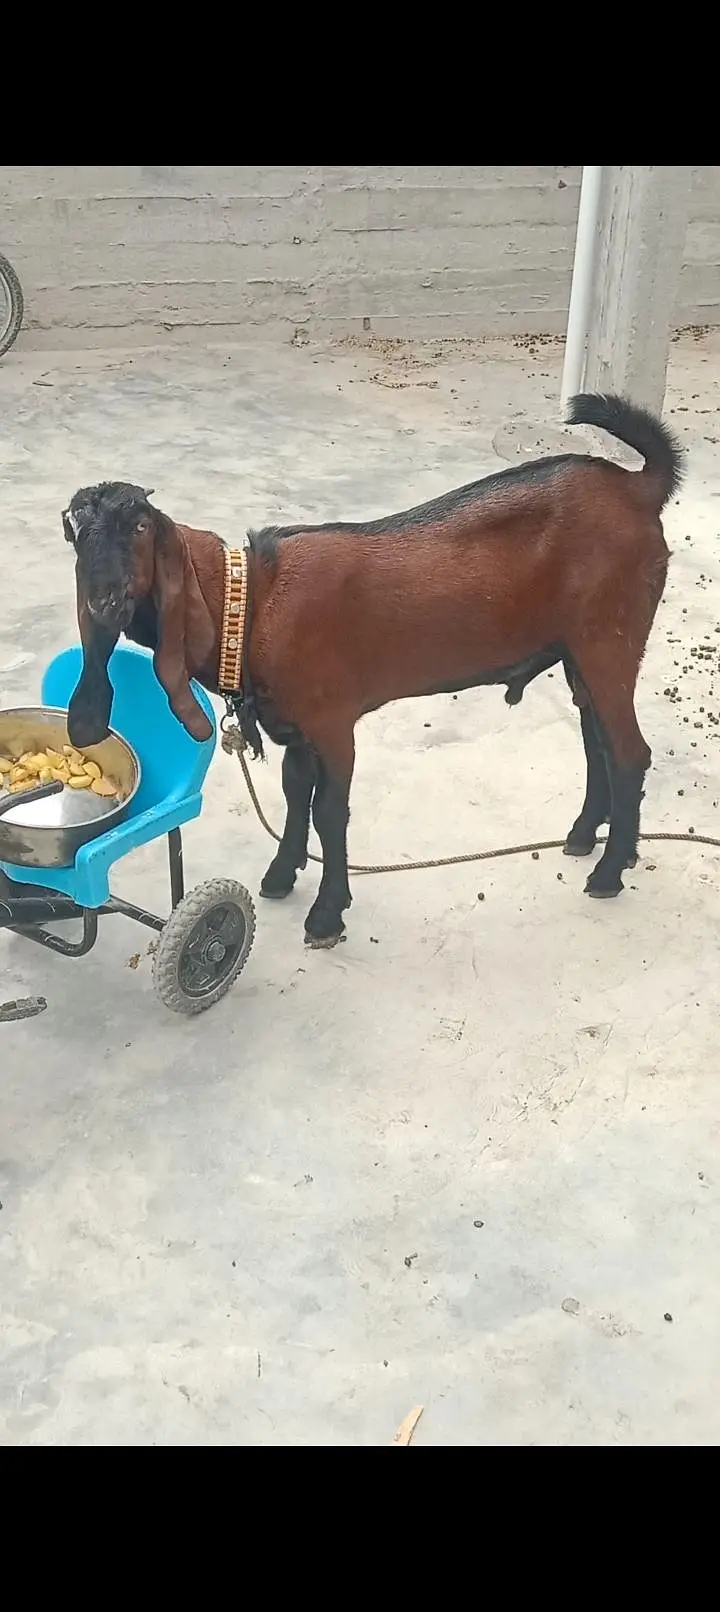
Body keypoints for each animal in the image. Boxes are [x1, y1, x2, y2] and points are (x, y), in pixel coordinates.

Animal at [63, 393, 683, 948]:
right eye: (76, 533)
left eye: (140, 529)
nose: (104, 602)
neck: (256, 601)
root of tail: (637, 489)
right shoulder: (297, 726)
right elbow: (295, 793)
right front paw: (281, 876)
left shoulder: (334, 722)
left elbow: (329, 812)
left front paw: (326, 915)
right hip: (578, 652)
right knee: (597, 741)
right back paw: (589, 839)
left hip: (608, 640)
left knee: (629, 752)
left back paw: (608, 873)